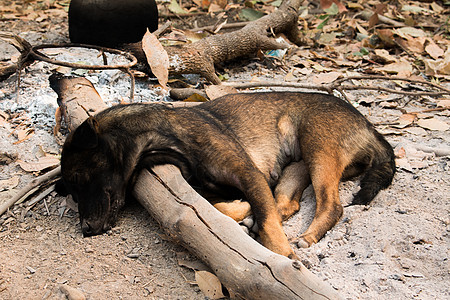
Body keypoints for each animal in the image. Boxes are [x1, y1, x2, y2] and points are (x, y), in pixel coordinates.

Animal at [57, 92, 398, 258]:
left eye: (83, 179)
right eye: (72, 191)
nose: (85, 229)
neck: (167, 137)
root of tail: (369, 126)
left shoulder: (248, 174)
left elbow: (268, 222)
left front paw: (282, 253)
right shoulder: (213, 187)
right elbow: (226, 206)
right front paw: (245, 213)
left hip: (318, 150)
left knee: (331, 205)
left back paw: (307, 236)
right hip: (296, 165)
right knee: (287, 203)